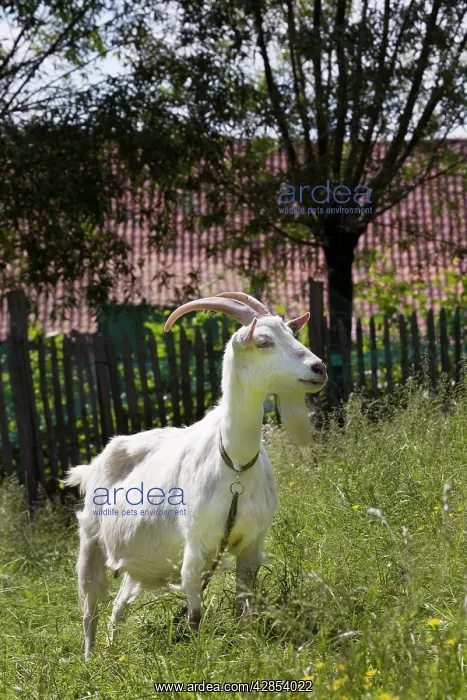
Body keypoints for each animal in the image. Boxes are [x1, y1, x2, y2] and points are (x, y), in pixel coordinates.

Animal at [65, 292, 327, 659]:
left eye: (292, 333)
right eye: (264, 342)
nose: (319, 368)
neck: (234, 465)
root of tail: (93, 465)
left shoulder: (252, 543)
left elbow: (245, 604)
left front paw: (247, 644)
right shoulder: (196, 544)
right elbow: (195, 614)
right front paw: (199, 655)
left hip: (137, 563)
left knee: (118, 607)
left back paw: (115, 651)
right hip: (90, 541)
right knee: (90, 608)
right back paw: (92, 660)